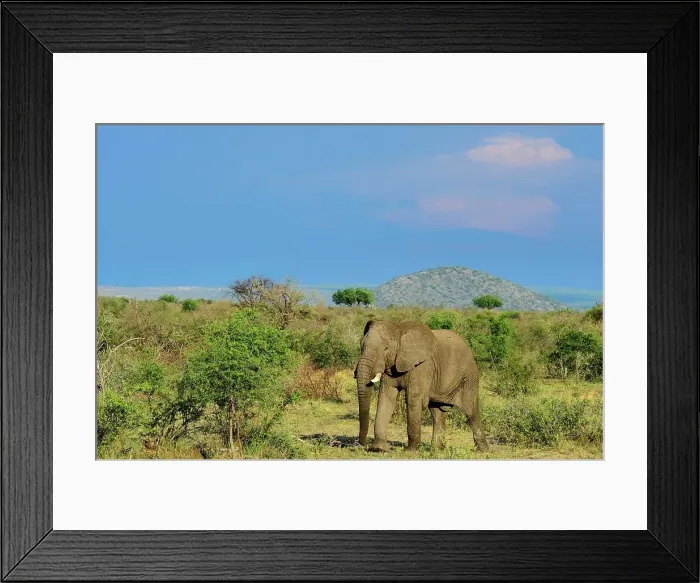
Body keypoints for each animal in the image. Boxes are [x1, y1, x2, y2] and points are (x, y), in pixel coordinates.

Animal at [354, 320, 488, 452]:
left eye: (386, 348)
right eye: (361, 346)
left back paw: (483, 450)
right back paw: (436, 449)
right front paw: (378, 449)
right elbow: (386, 398)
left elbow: (413, 400)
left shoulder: (423, 366)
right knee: (437, 412)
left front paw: (410, 451)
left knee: (471, 412)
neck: (398, 328)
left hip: (469, 377)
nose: (361, 444)